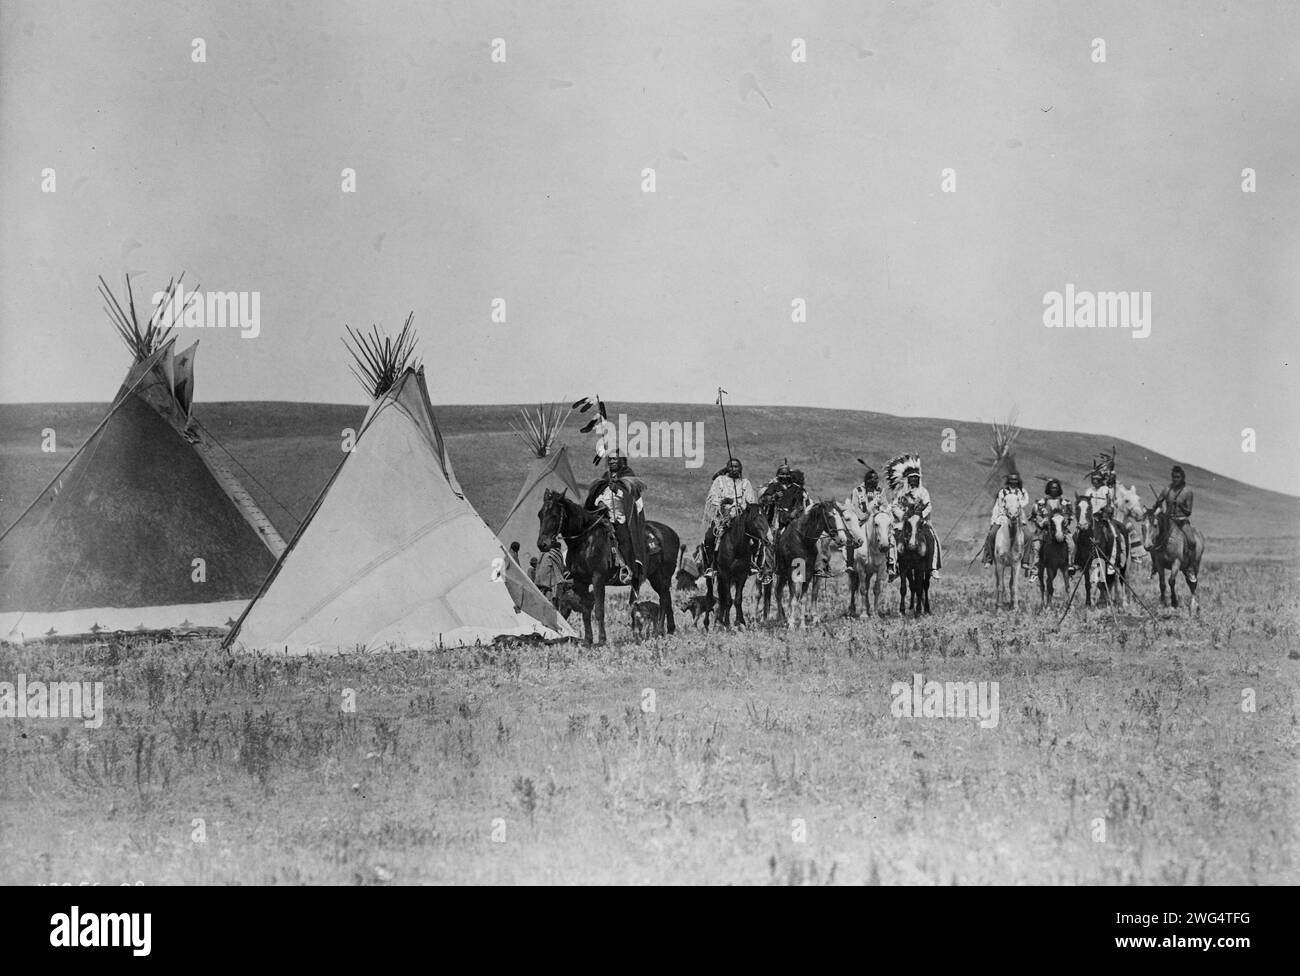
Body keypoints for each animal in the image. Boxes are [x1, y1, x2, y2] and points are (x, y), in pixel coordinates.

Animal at [535, 491, 681, 644]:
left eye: (554, 515)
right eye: (540, 514)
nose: (542, 544)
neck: (586, 541)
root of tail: (671, 533)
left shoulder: (598, 578)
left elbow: (599, 610)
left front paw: (602, 640)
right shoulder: (581, 581)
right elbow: (585, 610)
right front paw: (588, 640)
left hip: (661, 576)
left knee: (664, 599)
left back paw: (659, 630)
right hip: (657, 577)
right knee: (667, 597)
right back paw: (669, 629)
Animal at [712, 499, 769, 629]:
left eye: (765, 516)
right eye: (754, 518)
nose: (768, 539)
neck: (736, 547)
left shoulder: (742, 575)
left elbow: (738, 599)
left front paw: (740, 622)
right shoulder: (725, 574)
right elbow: (728, 599)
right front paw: (727, 623)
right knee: (722, 597)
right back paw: (719, 620)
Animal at [769, 499, 842, 629]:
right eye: (829, 516)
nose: (840, 539)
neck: (803, 541)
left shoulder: (807, 574)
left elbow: (803, 598)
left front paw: (802, 625)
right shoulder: (792, 573)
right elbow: (794, 599)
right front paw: (792, 624)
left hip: (783, 575)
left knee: (780, 591)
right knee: (778, 592)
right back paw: (782, 619)